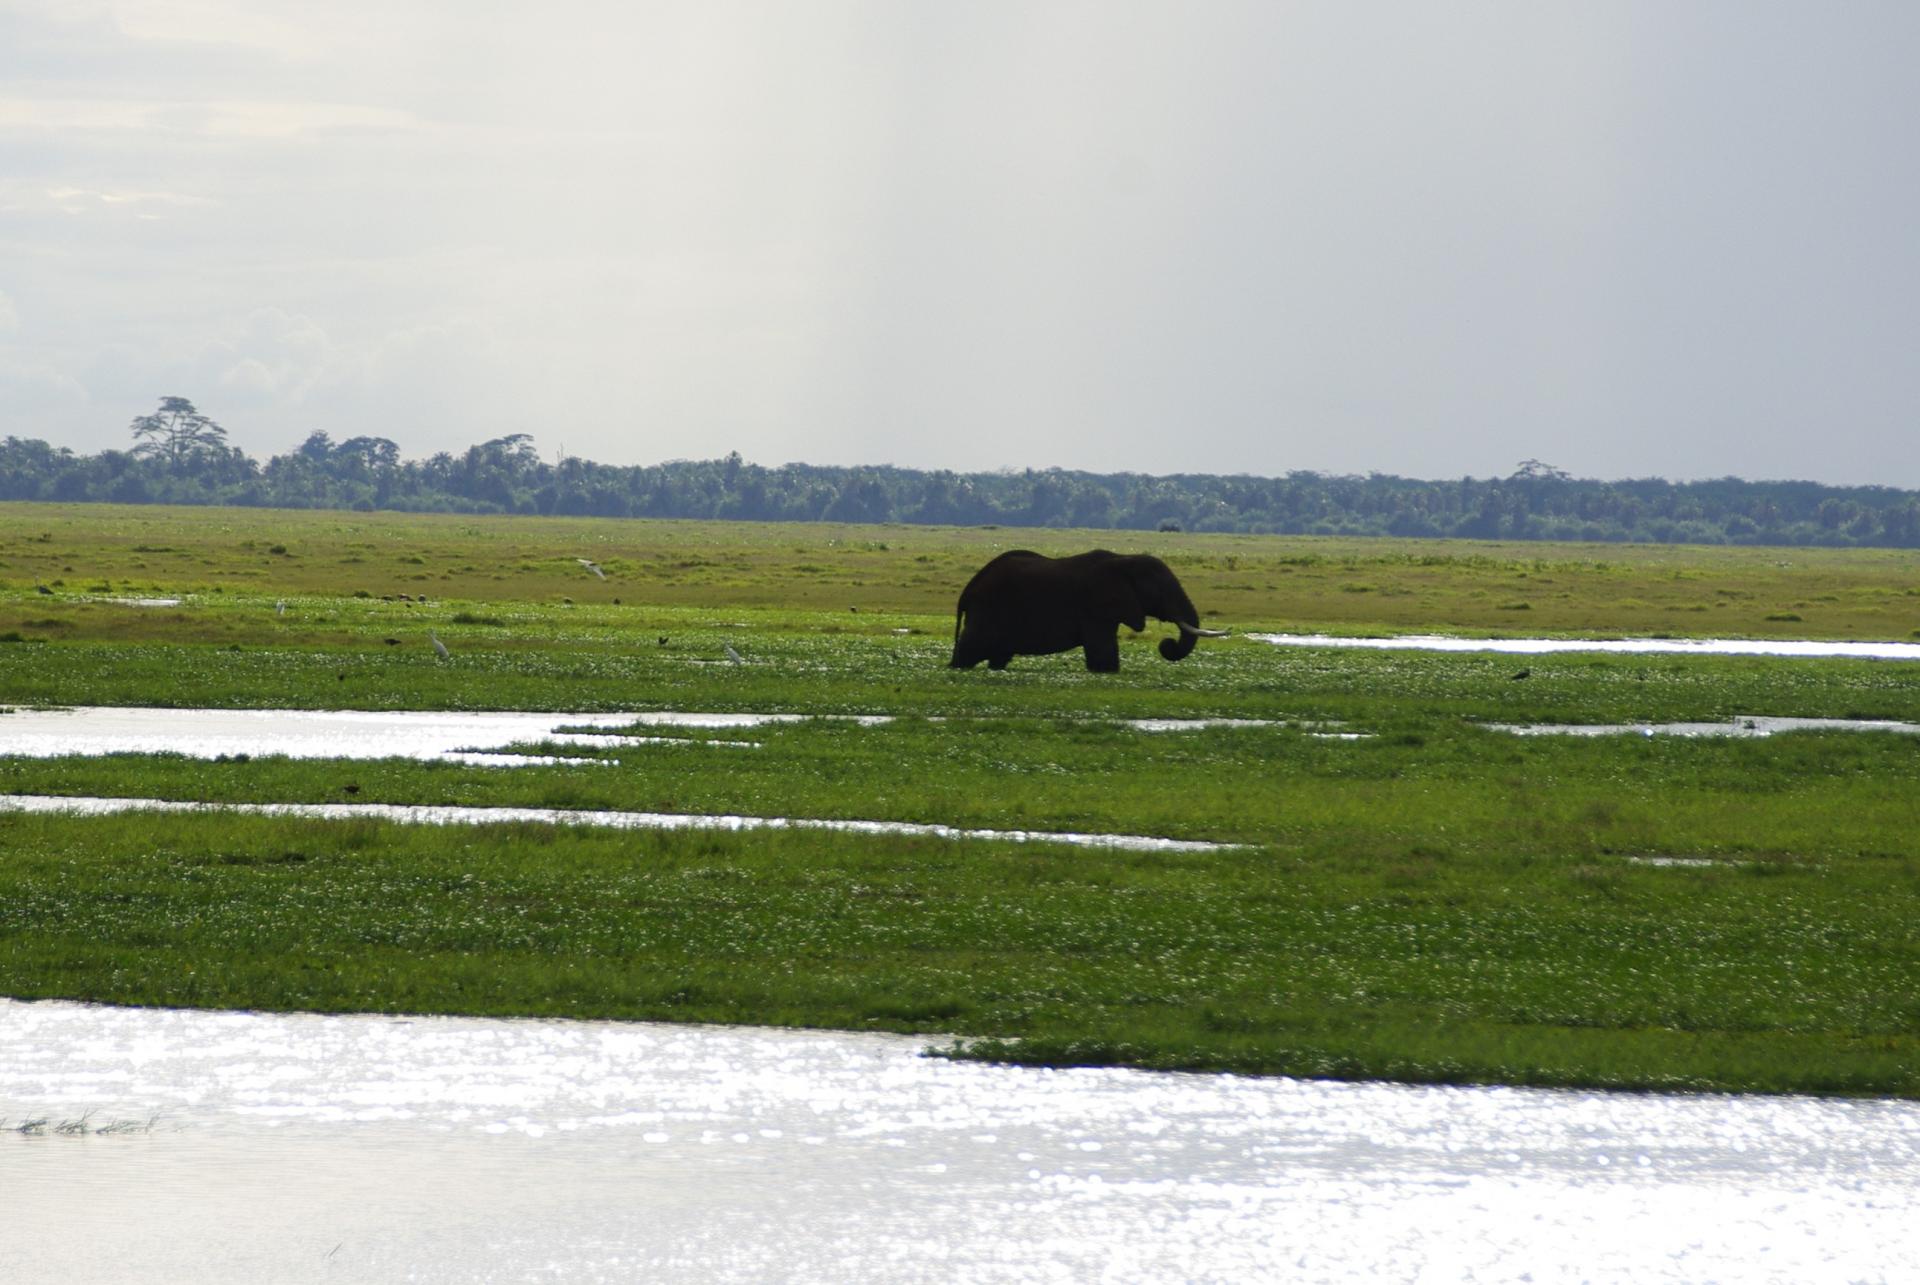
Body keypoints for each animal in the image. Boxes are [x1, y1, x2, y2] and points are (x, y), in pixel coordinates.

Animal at [948, 549, 1228, 672]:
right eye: (1159, 591)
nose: (1167, 644)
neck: (1124, 559)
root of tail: (968, 590)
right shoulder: (1095, 606)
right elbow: (1102, 651)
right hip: (987, 610)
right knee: (970, 649)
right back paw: (956, 667)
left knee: (998, 655)